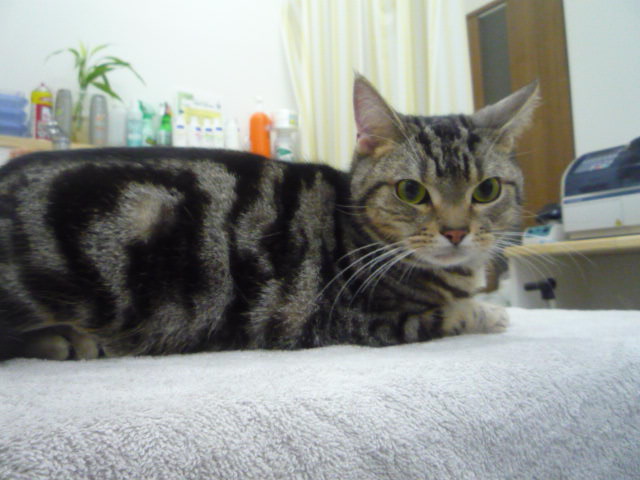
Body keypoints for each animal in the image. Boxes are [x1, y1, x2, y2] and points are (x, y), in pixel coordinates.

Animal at [0, 75, 538, 360]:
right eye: (412, 192)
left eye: (486, 190)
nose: (456, 231)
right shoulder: (367, 322)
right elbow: (457, 313)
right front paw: (492, 313)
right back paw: (67, 339)